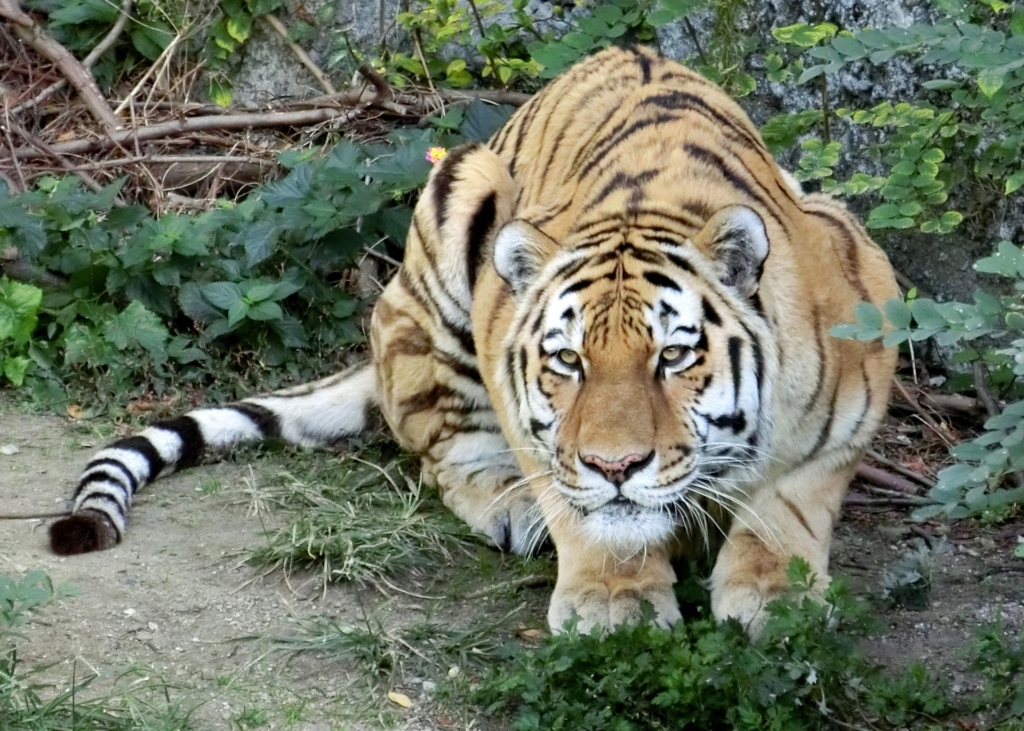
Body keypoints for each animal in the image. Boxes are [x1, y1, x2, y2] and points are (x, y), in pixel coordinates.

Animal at [48, 45, 897, 634]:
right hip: (455, 207)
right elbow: (578, 498)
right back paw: (510, 506)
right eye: (568, 361)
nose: (616, 466)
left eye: (674, 356)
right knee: (433, 435)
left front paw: (777, 597)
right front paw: (613, 600)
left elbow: (789, 500)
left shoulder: (862, 343)